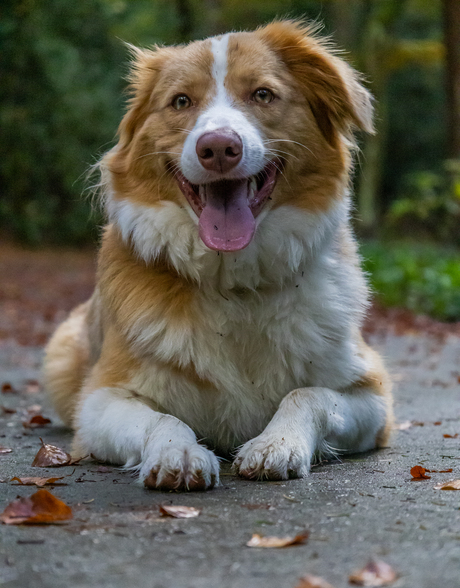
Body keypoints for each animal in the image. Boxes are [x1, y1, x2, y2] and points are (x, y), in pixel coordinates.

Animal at [45, 20, 394, 490]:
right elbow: (163, 419)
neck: (234, 282)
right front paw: (179, 453)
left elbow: (308, 394)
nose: (218, 148)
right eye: (181, 101)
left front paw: (276, 444)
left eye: (262, 94)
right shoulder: (100, 401)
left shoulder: (372, 395)